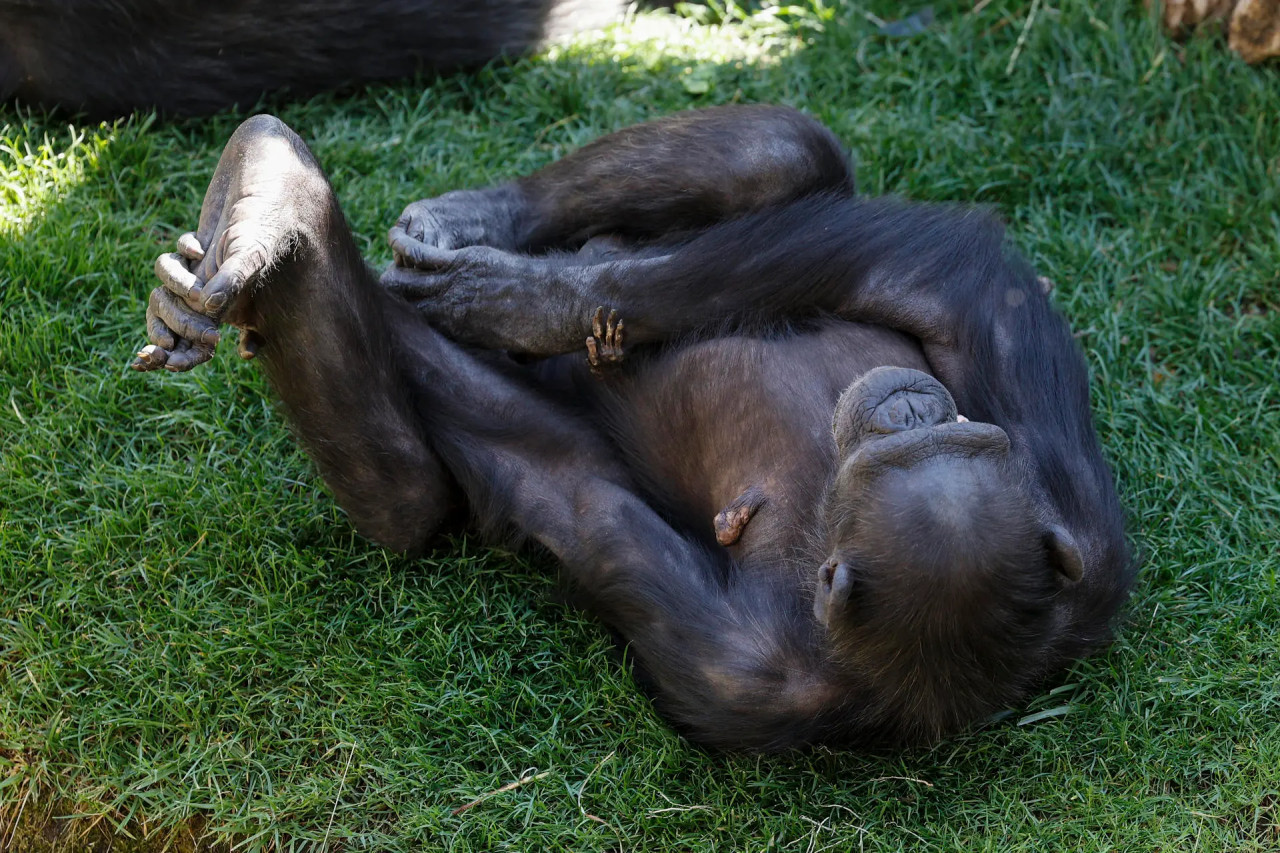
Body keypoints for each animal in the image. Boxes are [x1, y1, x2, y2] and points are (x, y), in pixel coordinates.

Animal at [129, 104, 1131, 742]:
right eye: (956, 439)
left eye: (881, 462)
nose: (911, 406)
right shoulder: (1078, 520)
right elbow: (957, 277)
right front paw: (532, 295)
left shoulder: (731, 667)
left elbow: (551, 472)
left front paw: (515, 302)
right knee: (783, 150)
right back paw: (462, 217)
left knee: (410, 501)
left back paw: (271, 199)